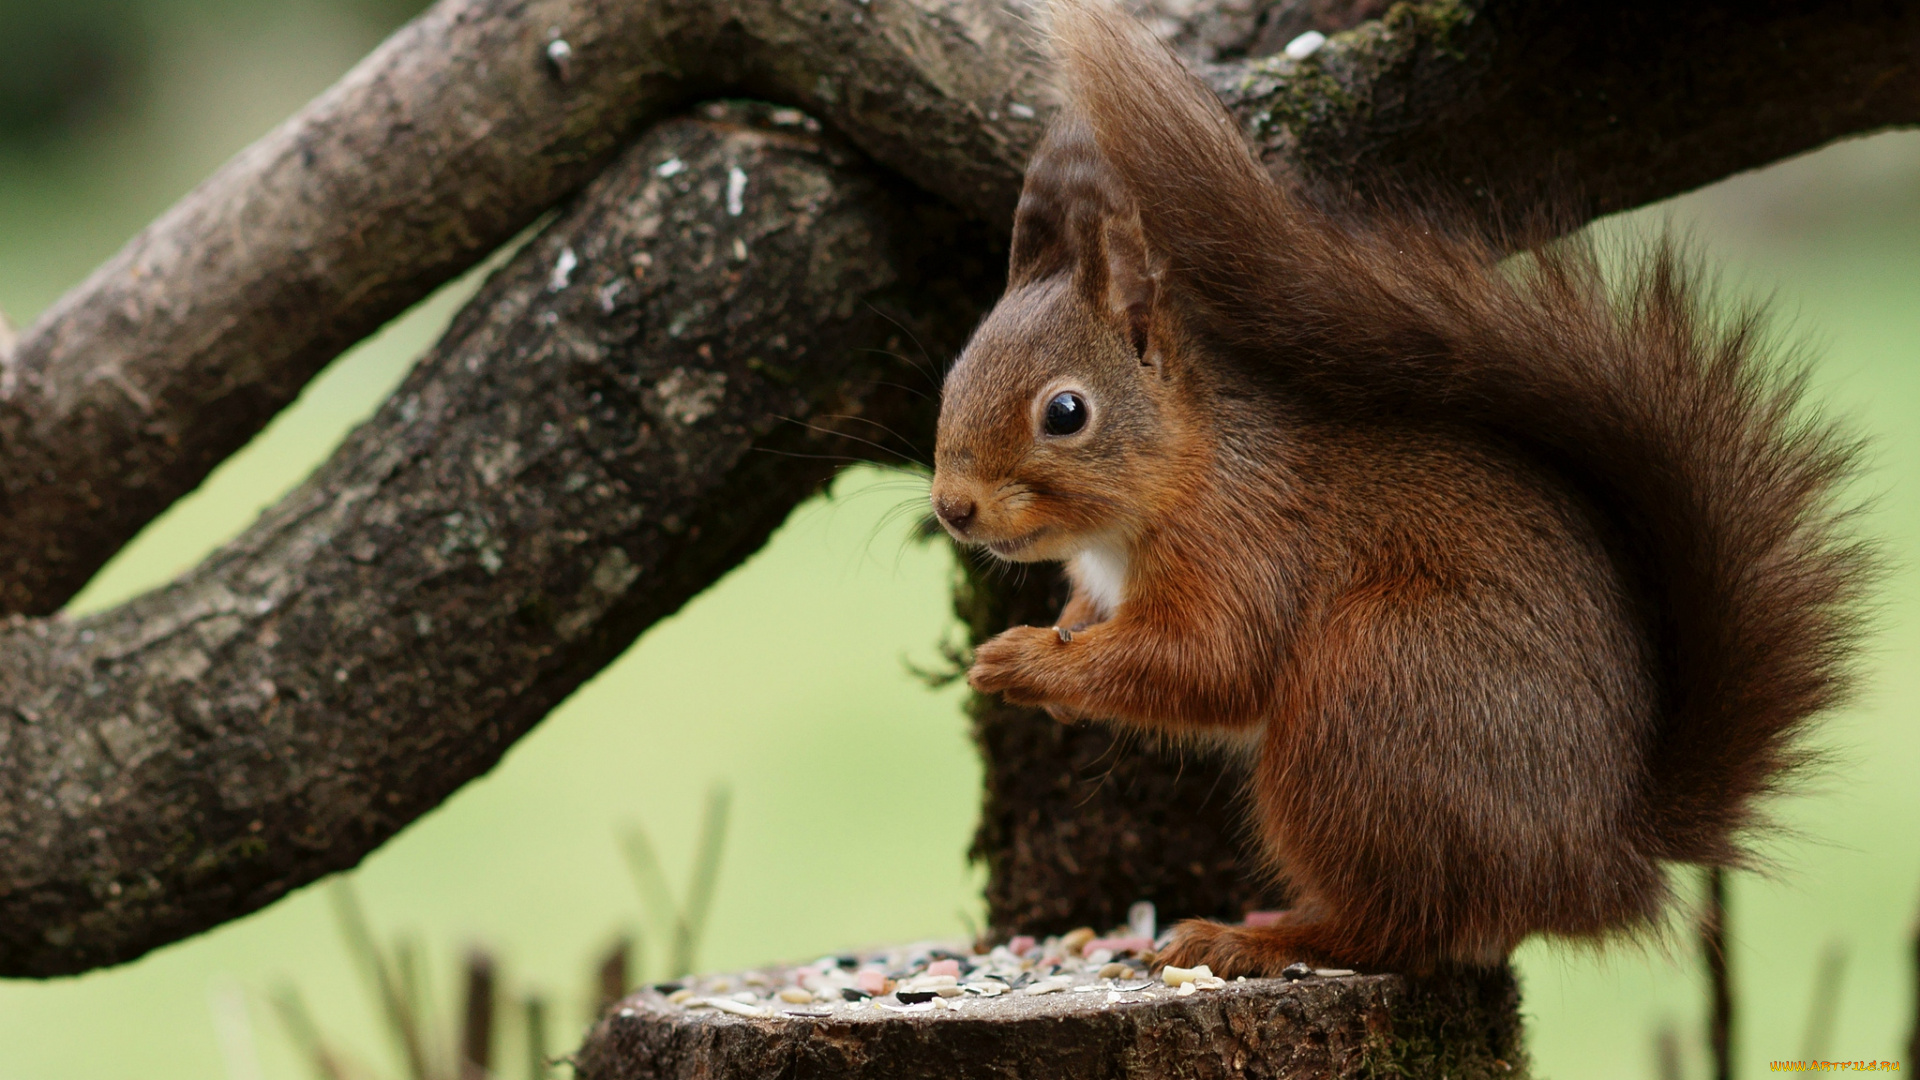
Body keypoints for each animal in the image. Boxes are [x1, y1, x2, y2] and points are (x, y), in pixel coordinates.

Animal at [936, 2, 1866, 976]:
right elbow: (1110, 625)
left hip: (1372, 700)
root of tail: (1597, 860)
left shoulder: (1247, 538)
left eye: (1065, 412)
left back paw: (1251, 936)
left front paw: (1023, 661)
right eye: (953, 375)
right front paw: (1054, 644)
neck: (1179, 475)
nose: (952, 508)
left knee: (1396, 926)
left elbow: (1206, 660)